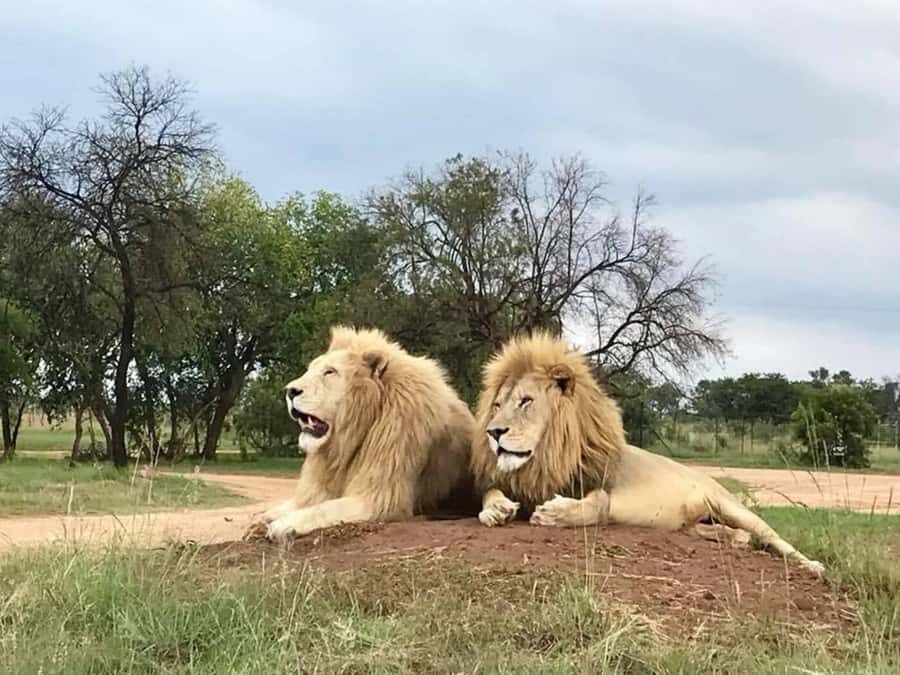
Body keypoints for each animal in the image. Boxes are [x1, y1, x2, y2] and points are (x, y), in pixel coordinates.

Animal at [246, 325, 476, 543]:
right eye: (310, 369)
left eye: (330, 372)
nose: (290, 391)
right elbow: (301, 503)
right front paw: (265, 516)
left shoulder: (380, 498)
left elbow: (325, 508)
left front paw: (282, 524)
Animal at [470, 333, 825, 577]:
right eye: (497, 405)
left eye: (526, 401)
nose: (493, 432)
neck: (546, 458)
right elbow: (490, 492)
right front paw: (496, 510)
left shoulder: (628, 498)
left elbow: (598, 505)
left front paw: (553, 513)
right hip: (695, 523)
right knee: (729, 534)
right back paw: (733, 539)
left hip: (732, 506)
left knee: (774, 538)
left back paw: (813, 566)